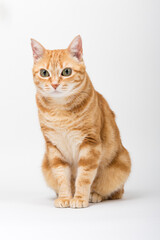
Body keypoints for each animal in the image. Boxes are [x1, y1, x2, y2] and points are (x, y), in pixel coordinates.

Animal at [30, 34, 131, 207]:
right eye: (44, 73)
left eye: (66, 72)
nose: (54, 84)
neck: (60, 111)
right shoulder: (54, 147)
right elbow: (62, 177)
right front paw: (65, 197)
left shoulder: (90, 144)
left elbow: (84, 177)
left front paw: (79, 198)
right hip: (45, 164)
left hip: (122, 164)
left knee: (115, 191)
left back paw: (95, 195)